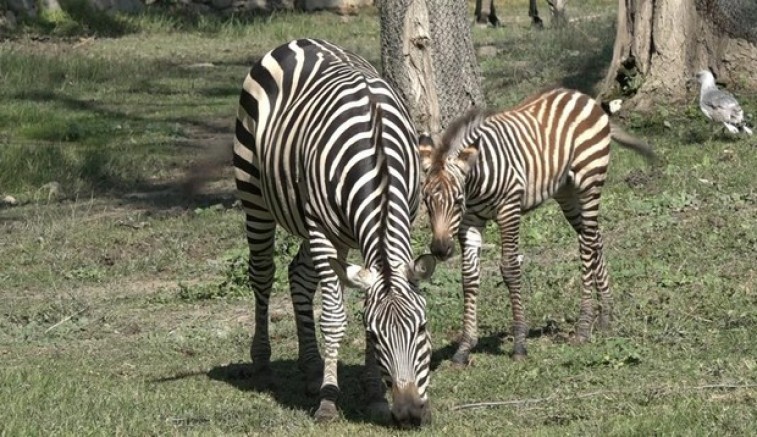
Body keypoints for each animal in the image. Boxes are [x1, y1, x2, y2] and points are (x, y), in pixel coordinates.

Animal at [234, 38, 437, 427]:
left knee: (298, 273)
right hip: (257, 196)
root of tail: (299, 41)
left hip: (332, 232)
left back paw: (312, 370)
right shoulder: (321, 229)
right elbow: (333, 317)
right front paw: (329, 400)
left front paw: (374, 396)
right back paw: (264, 363)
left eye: (421, 328)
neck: (377, 158)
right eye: (375, 334)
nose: (408, 413)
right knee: (263, 274)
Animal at [419, 88, 654, 365]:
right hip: (566, 192)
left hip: (589, 181)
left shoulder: (509, 210)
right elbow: (469, 277)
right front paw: (464, 348)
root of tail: (583, 97)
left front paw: (519, 343)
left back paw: (584, 327)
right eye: (426, 201)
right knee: (594, 238)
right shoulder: (470, 221)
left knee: (587, 246)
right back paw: (605, 315)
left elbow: (510, 269)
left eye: (457, 200)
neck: (477, 180)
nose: (440, 250)